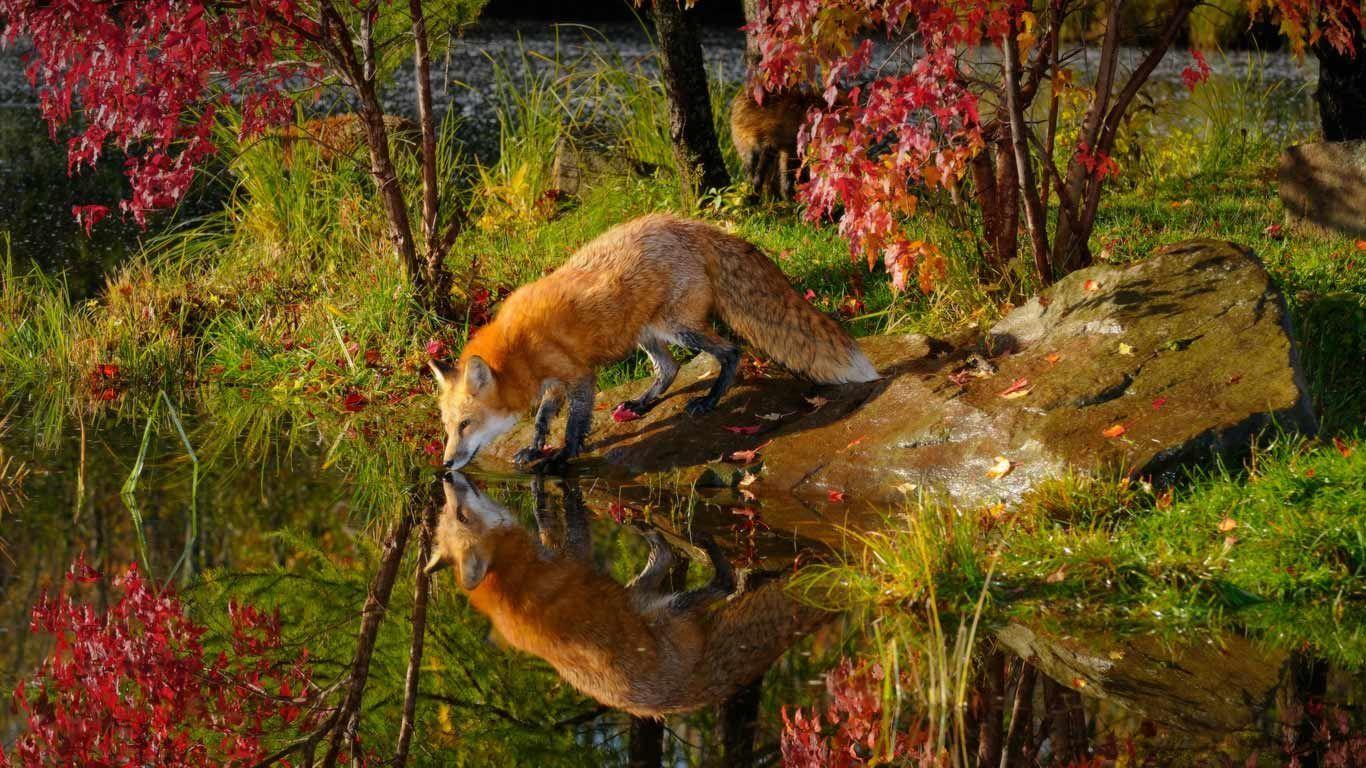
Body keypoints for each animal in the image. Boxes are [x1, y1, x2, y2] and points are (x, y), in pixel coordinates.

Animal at [424, 472, 832, 717]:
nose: (446, 473)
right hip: (665, 609)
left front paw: (543, 480)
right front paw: (559, 485)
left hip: (638, 597)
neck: (508, 576)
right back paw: (705, 548)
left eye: (453, 514)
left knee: (663, 555)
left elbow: (545, 517)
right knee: (724, 583)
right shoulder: (576, 553)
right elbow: (567, 514)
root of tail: (686, 695)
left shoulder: (560, 551)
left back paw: (647, 527)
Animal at [430, 213, 878, 471]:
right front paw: (534, 448)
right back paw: (642, 404)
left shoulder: (580, 377)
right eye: (448, 427)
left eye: (466, 424)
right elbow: (542, 418)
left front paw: (562, 456)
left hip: (676, 326)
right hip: (646, 332)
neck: (520, 345)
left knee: (731, 351)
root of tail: (690, 224)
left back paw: (708, 401)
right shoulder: (555, 382)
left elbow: (573, 424)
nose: (447, 465)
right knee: (671, 367)